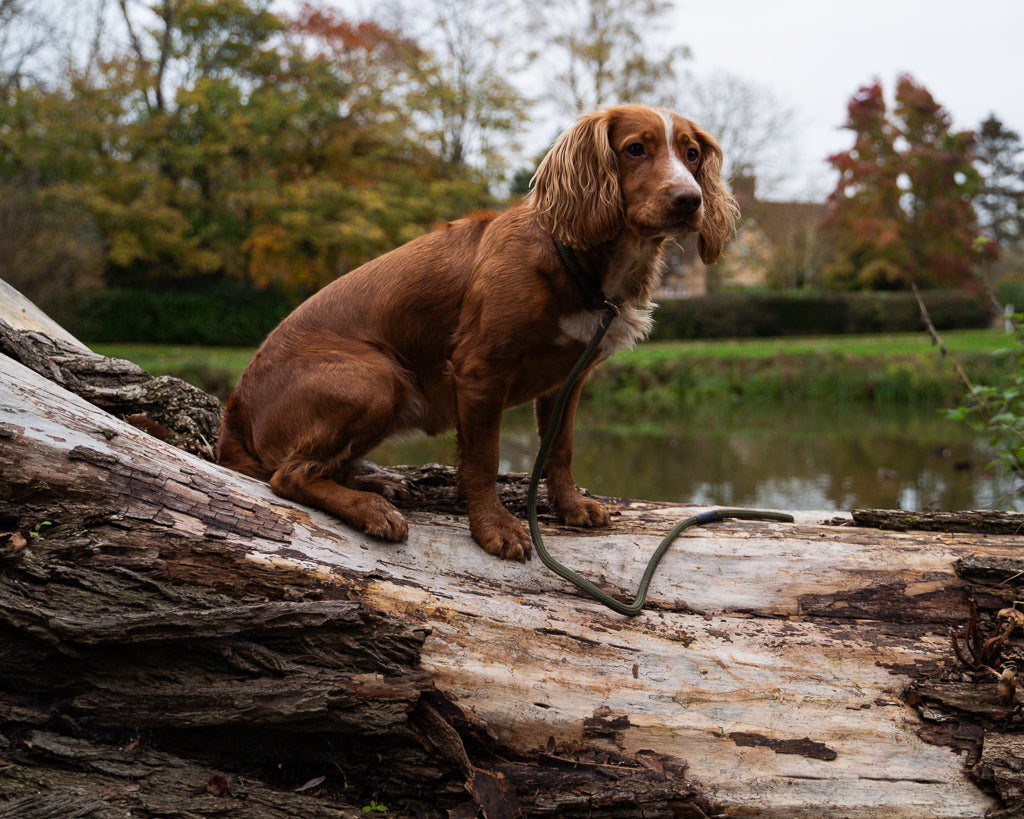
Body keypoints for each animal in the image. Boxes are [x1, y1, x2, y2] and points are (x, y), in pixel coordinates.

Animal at [220, 105, 741, 561]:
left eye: (692, 154)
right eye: (635, 149)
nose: (689, 200)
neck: (577, 259)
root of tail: (235, 412)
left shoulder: (568, 380)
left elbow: (560, 449)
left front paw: (570, 507)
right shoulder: (480, 371)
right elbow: (484, 460)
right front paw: (494, 528)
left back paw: (372, 482)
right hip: (376, 376)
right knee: (289, 475)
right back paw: (369, 506)